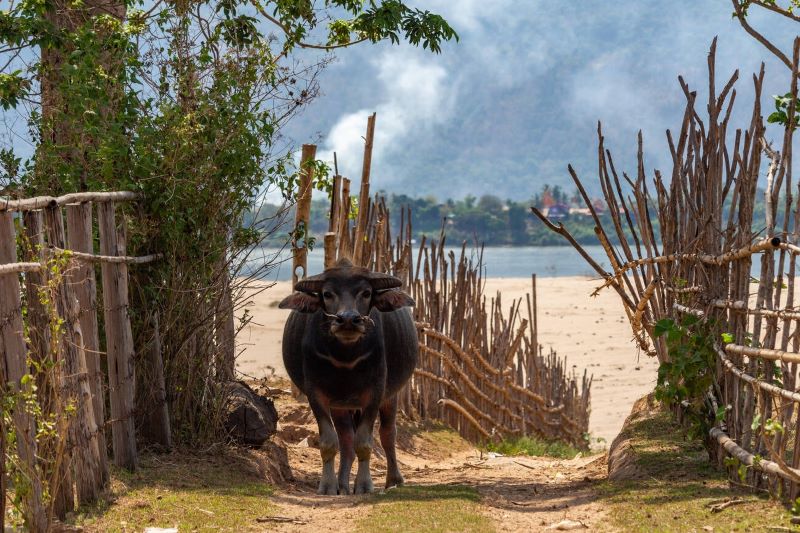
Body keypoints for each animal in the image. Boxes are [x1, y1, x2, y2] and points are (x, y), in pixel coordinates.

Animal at [280, 258, 418, 494]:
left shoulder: (375, 394)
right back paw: (343, 485)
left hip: (390, 397)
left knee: (388, 434)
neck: (345, 358)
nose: (347, 320)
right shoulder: (316, 394)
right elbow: (329, 442)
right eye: (327, 293)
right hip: (340, 406)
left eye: (366, 292)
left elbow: (364, 442)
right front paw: (327, 485)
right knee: (346, 441)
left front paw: (364, 485)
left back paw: (394, 480)